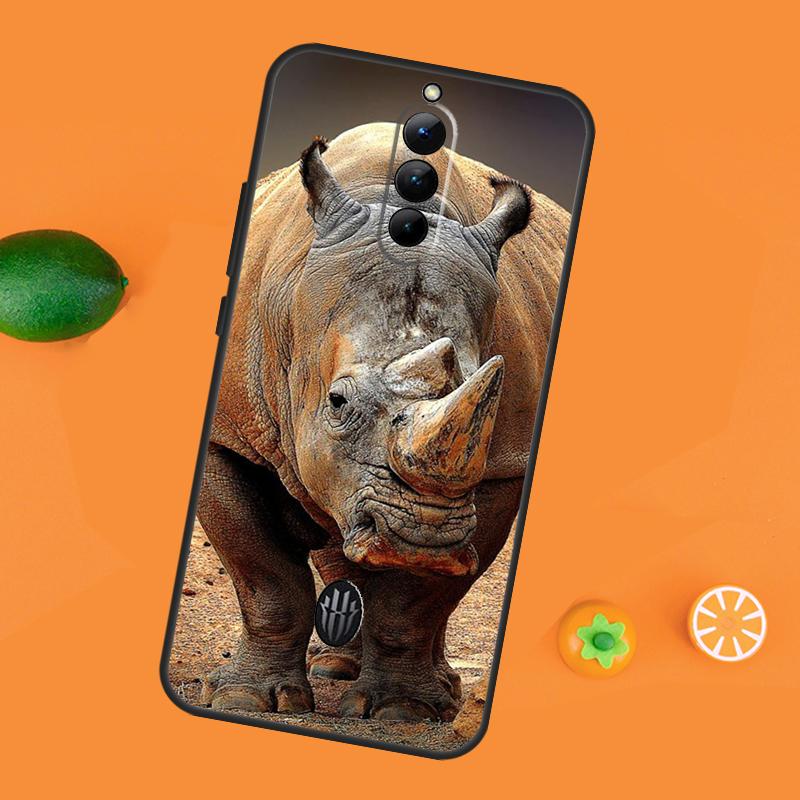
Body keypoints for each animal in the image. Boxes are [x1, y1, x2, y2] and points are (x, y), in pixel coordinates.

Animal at [199, 122, 569, 721]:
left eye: (491, 387)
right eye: (336, 402)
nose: (422, 534)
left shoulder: (503, 463)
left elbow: (414, 603)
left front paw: (403, 712)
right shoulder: (227, 434)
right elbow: (265, 576)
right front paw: (247, 699)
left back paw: (438, 690)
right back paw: (335, 669)